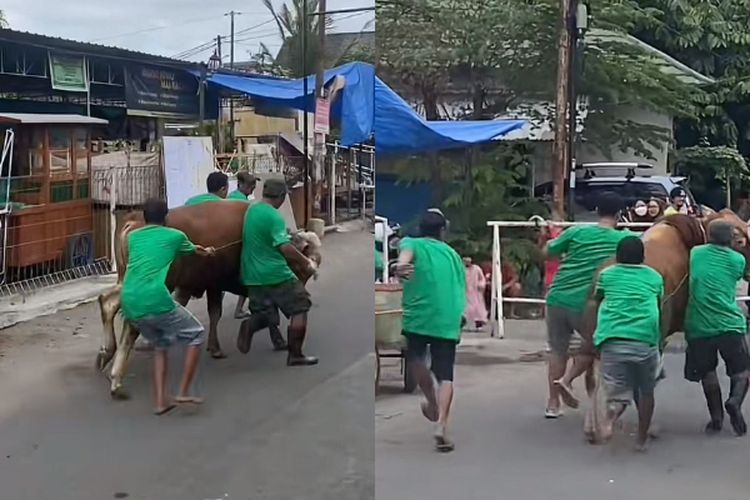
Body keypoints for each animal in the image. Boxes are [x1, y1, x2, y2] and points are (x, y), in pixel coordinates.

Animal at [98, 200, 322, 398]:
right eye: (304, 267)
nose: (303, 283)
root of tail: (135, 219)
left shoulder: (213, 285)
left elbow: (217, 314)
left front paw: (215, 347)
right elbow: (265, 314)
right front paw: (279, 341)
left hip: (127, 281)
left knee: (108, 301)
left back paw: (105, 354)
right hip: (152, 286)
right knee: (129, 325)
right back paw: (116, 379)